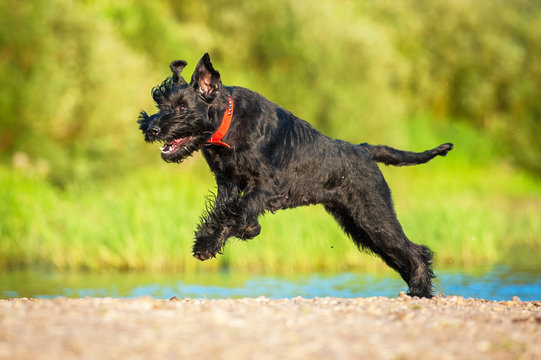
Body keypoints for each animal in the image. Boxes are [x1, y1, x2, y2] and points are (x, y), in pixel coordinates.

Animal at [138, 52, 452, 296]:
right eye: (159, 103)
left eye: (182, 107)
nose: (151, 128)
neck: (228, 123)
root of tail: (364, 150)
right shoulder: (227, 183)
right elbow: (222, 212)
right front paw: (210, 241)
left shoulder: (266, 184)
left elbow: (237, 210)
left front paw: (243, 231)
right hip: (358, 224)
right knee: (402, 254)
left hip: (374, 215)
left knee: (415, 251)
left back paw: (421, 293)